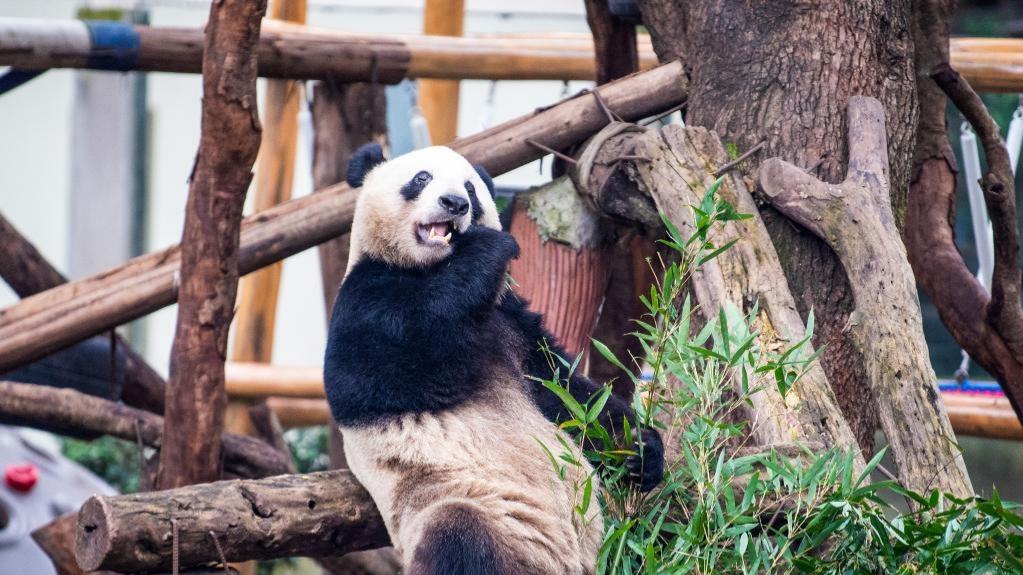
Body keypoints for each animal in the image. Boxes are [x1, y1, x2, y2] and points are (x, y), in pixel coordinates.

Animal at [324, 144, 664, 575]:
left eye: (470, 186)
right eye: (422, 177)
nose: (455, 203)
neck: (431, 267)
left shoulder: (510, 317)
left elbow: (563, 390)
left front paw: (641, 449)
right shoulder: (364, 294)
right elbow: (380, 374)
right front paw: (487, 247)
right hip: (483, 508)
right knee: (458, 536)